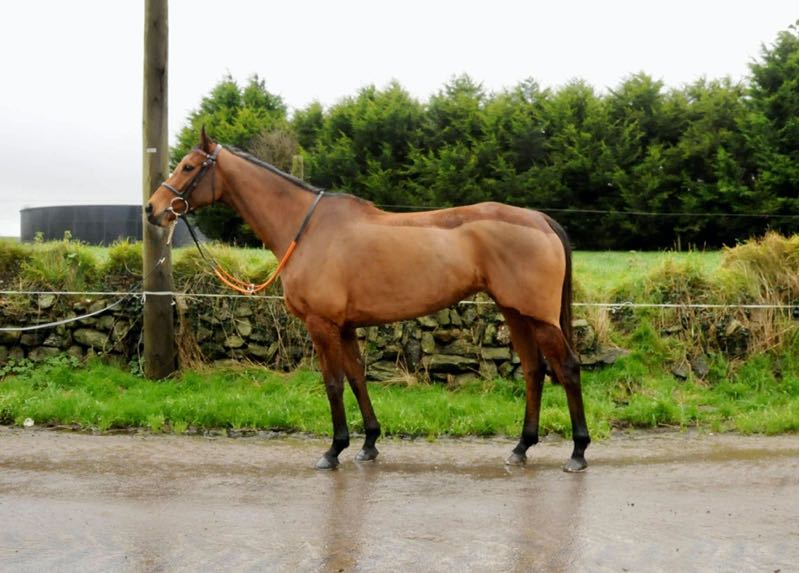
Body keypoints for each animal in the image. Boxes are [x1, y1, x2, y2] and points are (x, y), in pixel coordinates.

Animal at [146, 129, 591, 472]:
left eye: (188, 167)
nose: (153, 209)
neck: (308, 229)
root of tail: (540, 219)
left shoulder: (322, 325)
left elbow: (333, 383)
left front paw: (333, 449)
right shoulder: (345, 327)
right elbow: (358, 377)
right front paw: (369, 443)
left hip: (540, 318)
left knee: (567, 368)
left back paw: (578, 451)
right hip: (516, 313)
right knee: (534, 371)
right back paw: (521, 447)